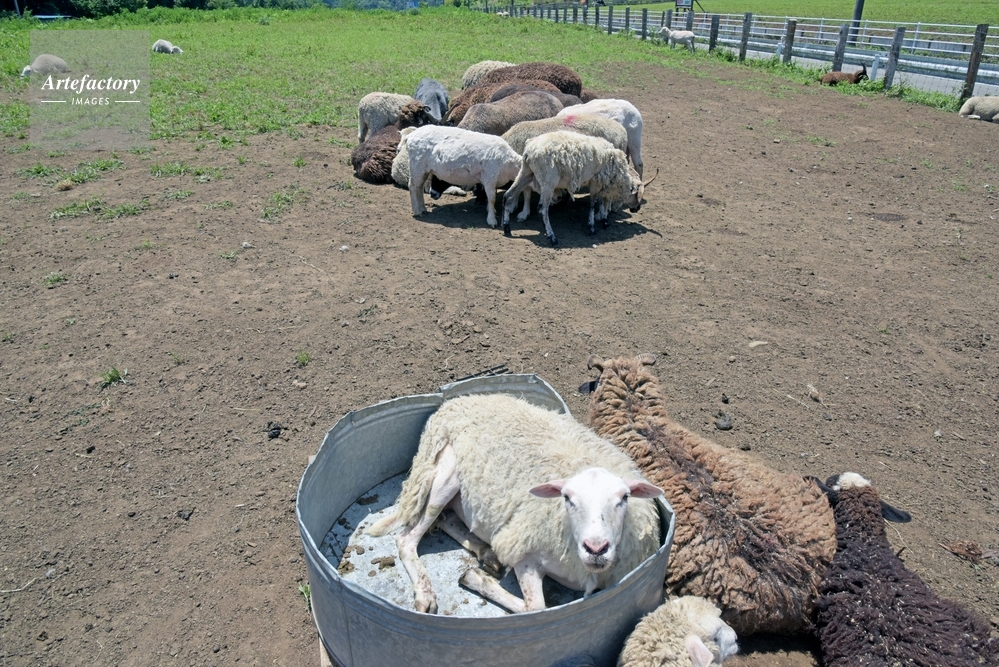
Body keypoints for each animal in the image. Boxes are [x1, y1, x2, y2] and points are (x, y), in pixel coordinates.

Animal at [364, 393, 663, 614]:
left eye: (624, 498)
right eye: (567, 498)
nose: (596, 549)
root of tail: (454, 402)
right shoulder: (523, 554)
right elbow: (536, 608)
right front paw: (474, 579)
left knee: (446, 519)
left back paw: (486, 553)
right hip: (445, 475)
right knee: (407, 538)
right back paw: (426, 594)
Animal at [501, 131, 647, 246]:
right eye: (636, 195)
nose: (637, 209)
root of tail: (529, 151)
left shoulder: (600, 183)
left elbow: (601, 202)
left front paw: (604, 220)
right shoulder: (596, 182)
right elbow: (593, 203)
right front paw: (592, 227)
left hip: (526, 172)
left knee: (508, 196)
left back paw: (506, 227)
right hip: (548, 181)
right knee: (542, 210)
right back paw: (551, 237)